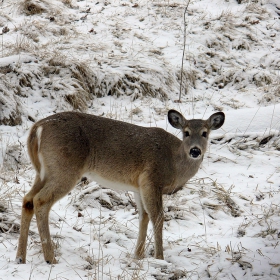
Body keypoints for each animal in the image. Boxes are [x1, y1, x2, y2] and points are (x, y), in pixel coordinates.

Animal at [15, 108, 225, 264]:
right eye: (186, 132)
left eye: (205, 133)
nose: (195, 150)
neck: (174, 162)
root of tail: (37, 128)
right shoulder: (152, 179)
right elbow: (158, 217)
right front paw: (159, 258)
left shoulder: (139, 185)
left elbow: (144, 216)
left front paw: (138, 255)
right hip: (64, 168)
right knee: (40, 201)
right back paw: (50, 258)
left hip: (43, 172)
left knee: (27, 199)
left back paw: (20, 258)